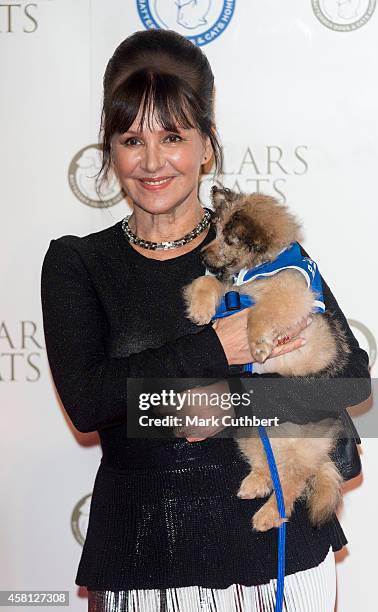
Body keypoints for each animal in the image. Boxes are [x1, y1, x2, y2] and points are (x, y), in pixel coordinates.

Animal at [182, 186, 350, 532]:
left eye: (229, 238)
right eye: (215, 231)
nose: (202, 256)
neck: (256, 268)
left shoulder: (289, 295)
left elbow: (259, 312)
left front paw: (258, 344)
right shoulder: (231, 291)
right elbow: (208, 282)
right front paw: (200, 309)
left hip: (302, 448)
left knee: (291, 481)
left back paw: (269, 514)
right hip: (249, 433)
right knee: (268, 466)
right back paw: (255, 483)